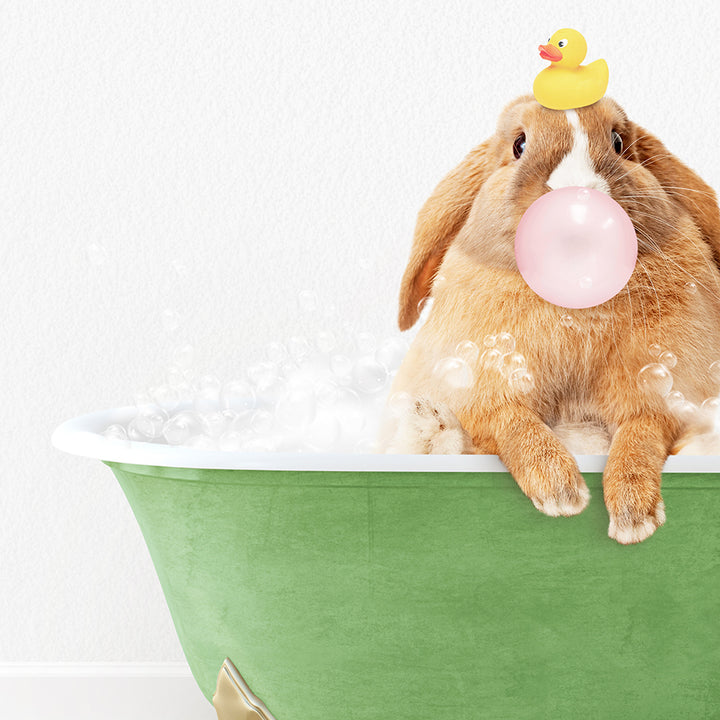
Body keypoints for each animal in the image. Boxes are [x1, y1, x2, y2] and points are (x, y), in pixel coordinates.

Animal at [376, 97, 720, 544]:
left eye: (618, 142)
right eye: (519, 144)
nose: (578, 195)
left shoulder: (661, 391)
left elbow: (640, 434)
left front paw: (633, 516)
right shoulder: (483, 386)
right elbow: (513, 422)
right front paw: (561, 492)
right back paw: (429, 423)